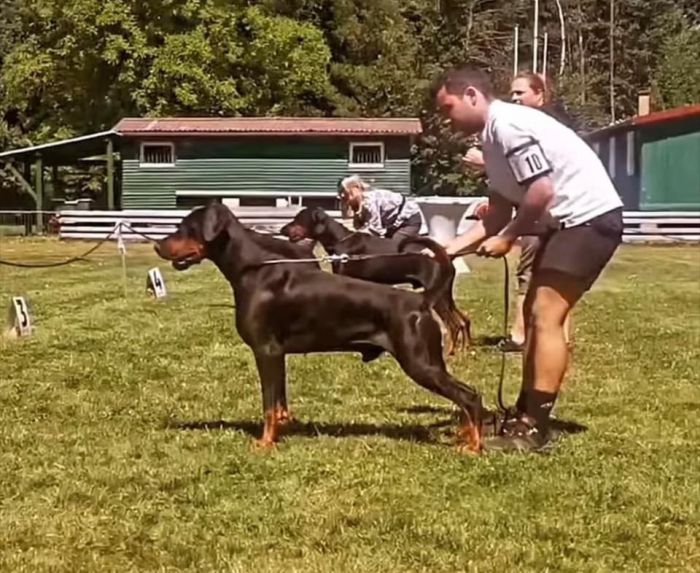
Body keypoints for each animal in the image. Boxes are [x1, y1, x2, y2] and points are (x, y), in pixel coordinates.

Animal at [279, 207, 471, 353]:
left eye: (298, 219)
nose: (281, 230)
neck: (340, 241)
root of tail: (444, 258)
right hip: (444, 294)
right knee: (463, 320)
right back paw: (463, 351)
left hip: (438, 297)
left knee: (454, 325)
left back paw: (449, 353)